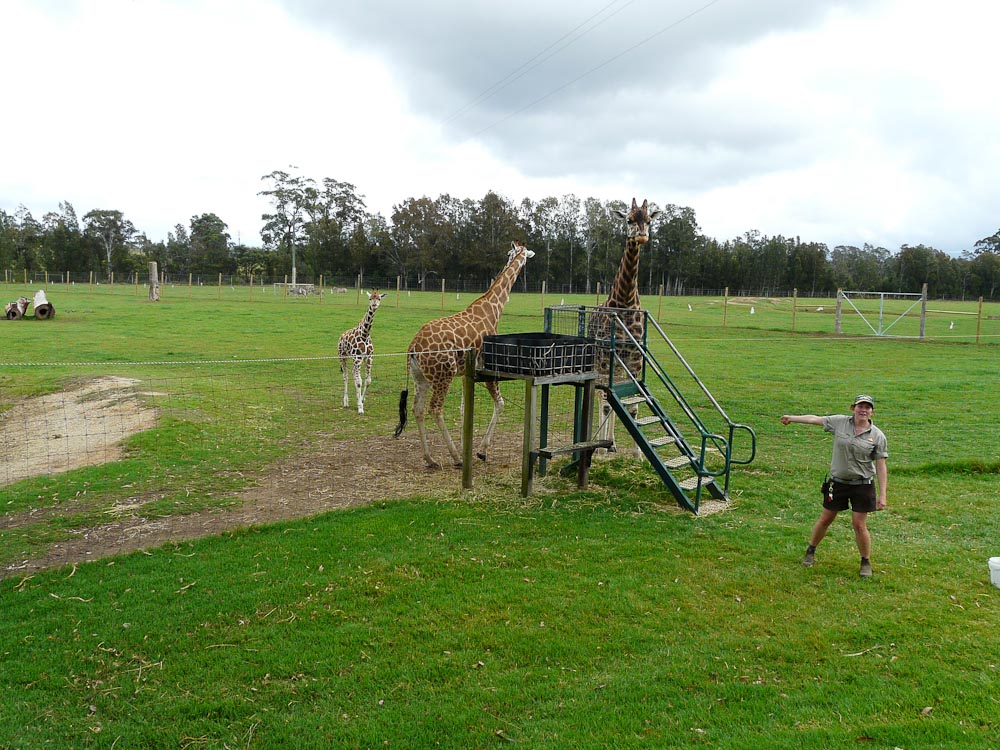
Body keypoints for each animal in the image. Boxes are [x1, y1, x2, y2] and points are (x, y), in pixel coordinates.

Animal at [394, 241, 534, 469]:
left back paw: (430, 458)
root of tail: (413, 347)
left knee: (418, 409)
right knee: (435, 409)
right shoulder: (488, 369)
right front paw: (481, 451)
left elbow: (463, 409)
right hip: (443, 375)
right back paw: (456, 458)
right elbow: (500, 404)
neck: (494, 310)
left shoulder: (466, 373)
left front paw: (466, 445)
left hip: (420, 378)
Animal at [590, 198, 661, 455]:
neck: (625, 302)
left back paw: (612, 444)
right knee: (600, 396)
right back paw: (604, 443)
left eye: (649, 220)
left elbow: (632, 405)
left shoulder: (635, 359)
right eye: (629, 220)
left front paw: (638, 454)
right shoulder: (604, 358)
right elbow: (605, 402)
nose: (641, 236)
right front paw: (601, 450)